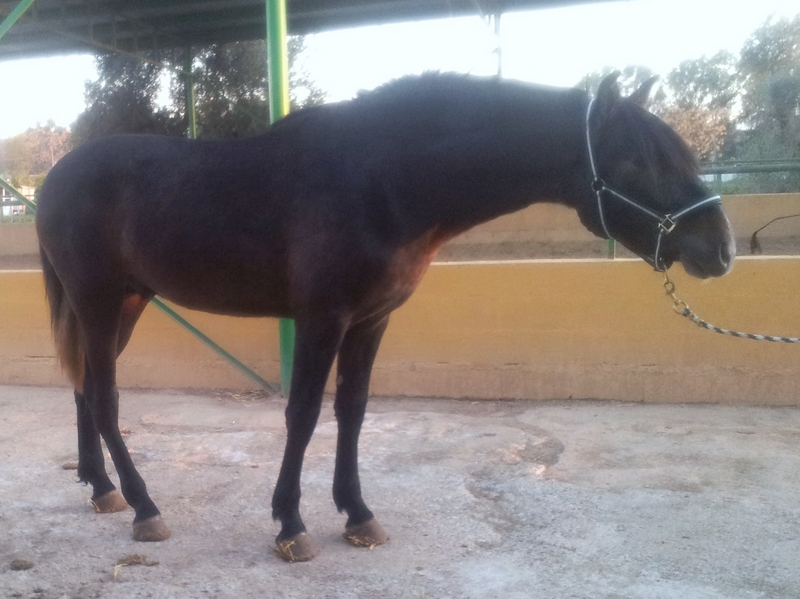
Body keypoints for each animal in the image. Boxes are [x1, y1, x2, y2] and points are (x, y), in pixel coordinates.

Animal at [35, 72, 735, 562]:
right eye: (638, 159)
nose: (721, 248)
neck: (384, 179)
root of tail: (54, 178)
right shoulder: (323, 318)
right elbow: (304, 415)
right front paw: (291, 524)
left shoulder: (371, 321)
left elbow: (353, 411)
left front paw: (358, 514)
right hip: (100, 301)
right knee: (105, 397)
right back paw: (144, 507)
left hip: (126, 303)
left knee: (85, 390)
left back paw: (101, 489)